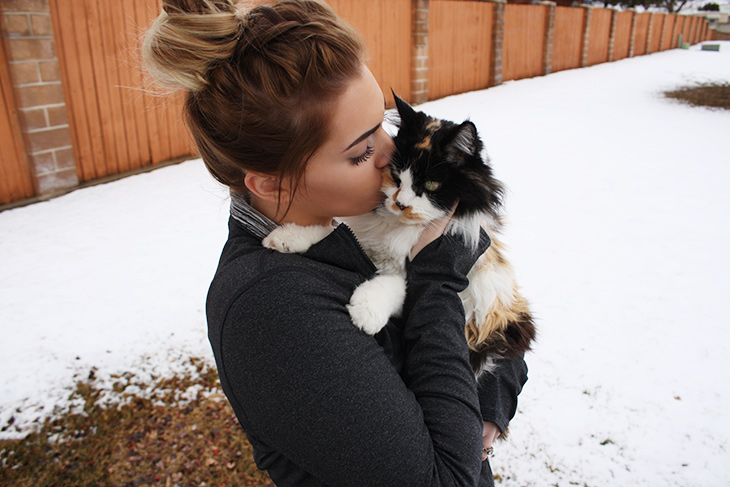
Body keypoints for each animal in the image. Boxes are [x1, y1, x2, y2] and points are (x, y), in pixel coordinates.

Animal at [263, 93, 535, 377]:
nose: (401, 204)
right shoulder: (366, 240)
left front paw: (365, 312)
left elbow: (388, 285)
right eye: (396, 176)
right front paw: (284, 237)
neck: (399, 227)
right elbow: (330, 230)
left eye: (431, 184)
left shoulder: (408, 274)